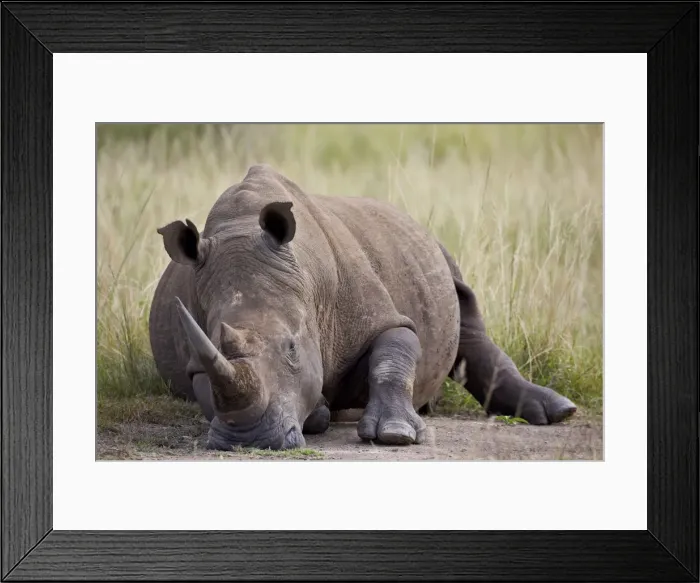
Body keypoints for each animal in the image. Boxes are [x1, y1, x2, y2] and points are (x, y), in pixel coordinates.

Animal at [148, 164, 577, 451]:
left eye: (292, 349)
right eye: (215, 343)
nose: (249, 440)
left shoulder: (378, 314)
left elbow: (394, 352)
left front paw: (396, 434)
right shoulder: (196, 359)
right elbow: (207, 390)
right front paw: (318, 413)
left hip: (432, 246)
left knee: (467, 319)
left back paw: (557, 412)